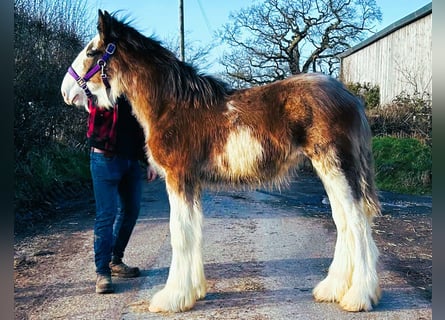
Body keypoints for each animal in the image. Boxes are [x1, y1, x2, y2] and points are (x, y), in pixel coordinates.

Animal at [60, 11, 382, 314]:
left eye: (92, 51)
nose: (66, 91)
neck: (171, 105)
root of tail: (350, 98)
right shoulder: (191, 182)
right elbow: (193, 231)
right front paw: (192, 292)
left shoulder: (179, 177)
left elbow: (179, 234)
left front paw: (171, 298)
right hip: (329, 170)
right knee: (343, 221)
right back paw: (333, 288)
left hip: (336, 167)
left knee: (356, 222)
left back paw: (359, 296)